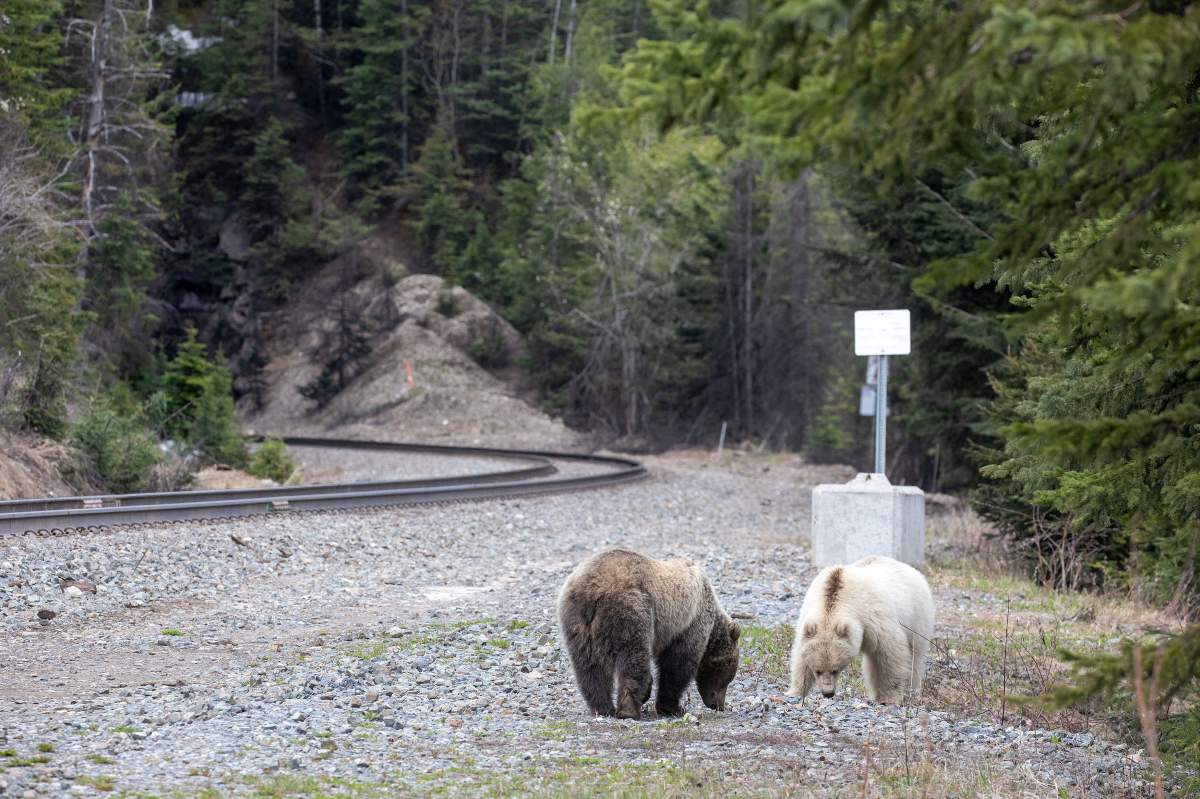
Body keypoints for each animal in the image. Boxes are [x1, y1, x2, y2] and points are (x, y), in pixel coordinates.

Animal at [557, 548, 741, 719]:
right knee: (633, 658)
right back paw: (628, 710)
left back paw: (603, 708)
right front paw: (673, 707)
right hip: (632, 609)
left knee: (589, 667)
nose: (718, 704)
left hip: (577, 624)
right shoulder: (689, 623)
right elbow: (677, 665)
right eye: (727, 676)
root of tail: (592, 590)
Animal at [786, 555, 934, 704]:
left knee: (914, 656)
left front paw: (890, 698)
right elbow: (800, 657)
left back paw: (911, 691)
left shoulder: (873, 618)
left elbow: (891, 653)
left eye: (835, 670)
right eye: (817, 670)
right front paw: (794, 692)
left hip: (917, 616)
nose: (828, 693)